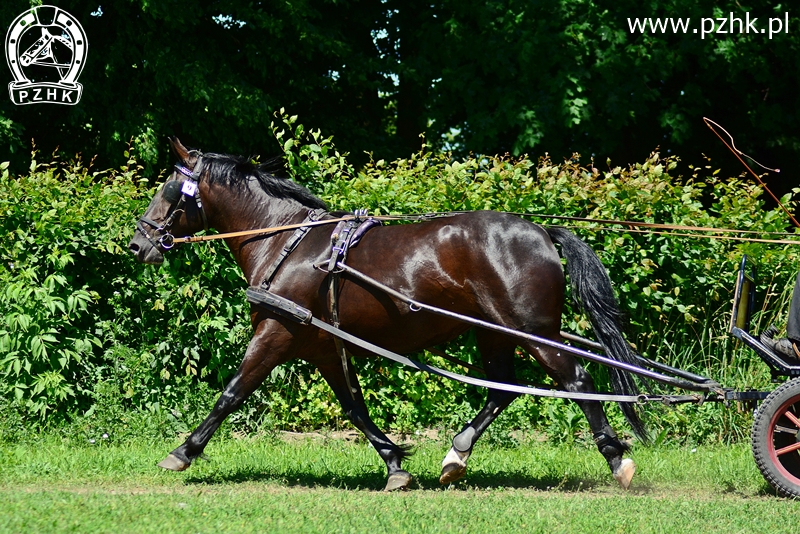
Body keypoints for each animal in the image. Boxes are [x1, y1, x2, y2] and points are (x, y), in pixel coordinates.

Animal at [130, 139, 644, 494]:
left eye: (171, 190)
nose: (138, 244)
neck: (286, 241)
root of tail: (540, 231)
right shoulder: (324, 345)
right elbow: (354, 407)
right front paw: (395, 464)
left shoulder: (278, 332)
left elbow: (231, 393)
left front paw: (183, 451)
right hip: (494, 333)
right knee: (502, 388)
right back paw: (455, 455)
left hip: (533, 332)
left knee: (576, 381)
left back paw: (616, 460)